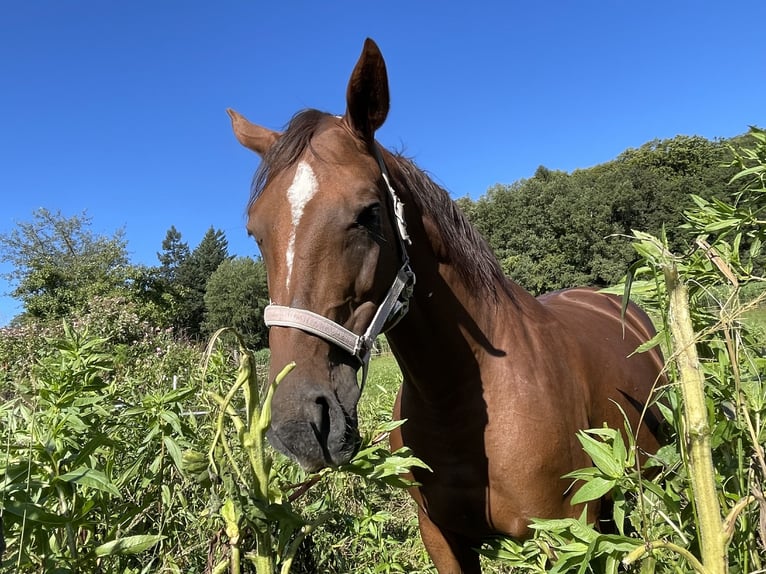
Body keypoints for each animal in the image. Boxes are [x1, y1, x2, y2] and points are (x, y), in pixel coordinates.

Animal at [227, 38, 664, 573]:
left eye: (369, 214)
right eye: (256, 231)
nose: (298, 425)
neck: (458, 402)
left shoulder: (566, 536)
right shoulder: (440, 535)